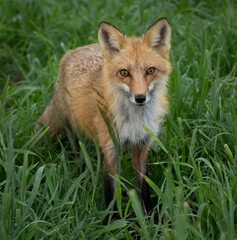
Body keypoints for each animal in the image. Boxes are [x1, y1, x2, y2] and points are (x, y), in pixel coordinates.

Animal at [35, 17, 171, 213]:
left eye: (150, 70)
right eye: (124, 72)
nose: (140, 98)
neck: (134, 121)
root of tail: (75, 49)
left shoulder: (142, 147)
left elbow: (144, 188)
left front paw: (149, 217)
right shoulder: (110, 150)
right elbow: (111, 193)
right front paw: (111, 219)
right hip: (78, 130)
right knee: (80, 154)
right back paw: (82, 176)